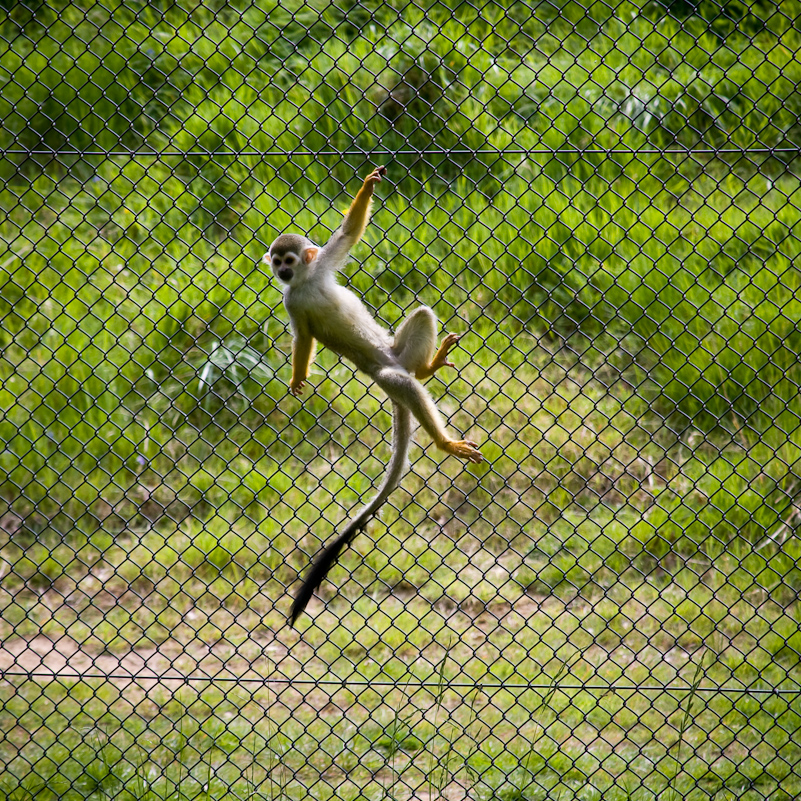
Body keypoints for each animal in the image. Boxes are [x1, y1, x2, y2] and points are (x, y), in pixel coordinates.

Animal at [266, 164, 484, 624]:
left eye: (289, 259)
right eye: (276, 261)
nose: (281, 271)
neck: (306, 283)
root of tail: (393, 363)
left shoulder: (319, 267)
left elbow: (348, 234)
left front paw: (368, 185)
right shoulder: (291, 301)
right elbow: (303, 337)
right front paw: (297, 376)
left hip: (397, 350)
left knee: (420, 320)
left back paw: (426, 368)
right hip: (384, 375)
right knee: (402, 383)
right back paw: (443, 440)